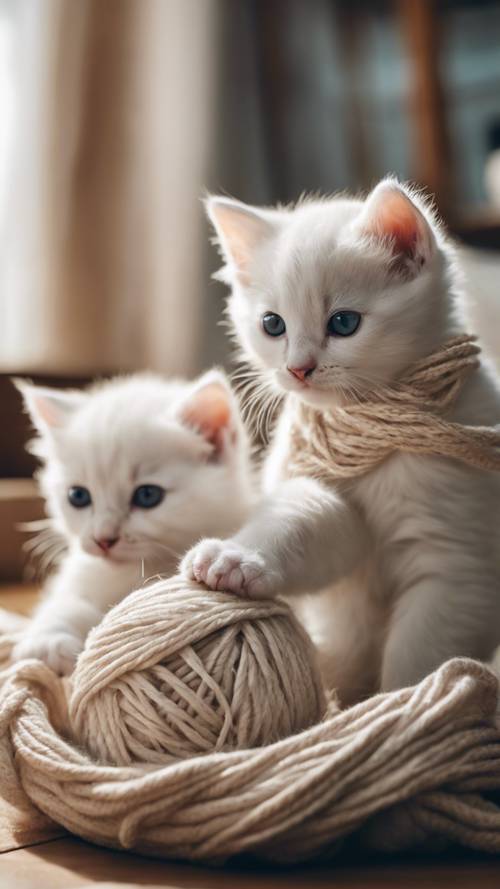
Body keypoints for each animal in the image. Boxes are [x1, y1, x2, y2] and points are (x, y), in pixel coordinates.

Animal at [12, 370, 254, 672]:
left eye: (147, 495)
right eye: (78, 496)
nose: (103, 539)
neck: (134, 572)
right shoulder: (82, 573)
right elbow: (69, 602)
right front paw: (48, 640)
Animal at [182, 177, 500, 704]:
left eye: (344, 323)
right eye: (273, 325)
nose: (298, 368)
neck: (370, 433)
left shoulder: (458, 568)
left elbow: (420, 653)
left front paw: (408, 702)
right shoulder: (327, 502)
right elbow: (302, 523)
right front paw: (238, 558)